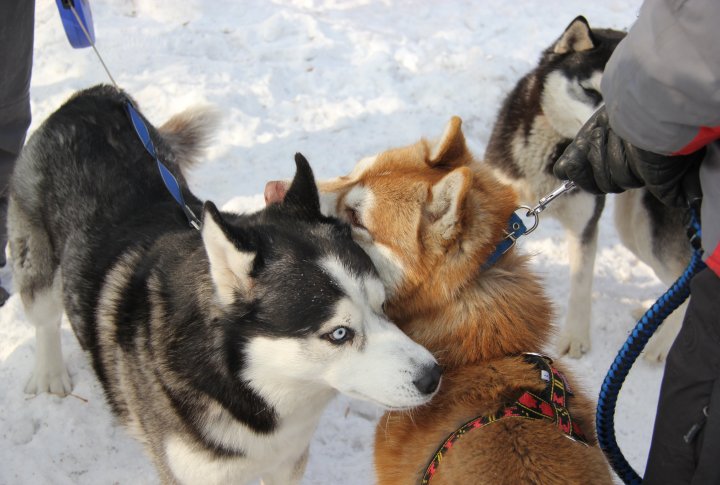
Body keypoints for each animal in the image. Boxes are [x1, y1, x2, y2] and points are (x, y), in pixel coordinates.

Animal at [9, 85, 438, 482]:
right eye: (339, 334)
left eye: (382, 305)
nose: (433, 375)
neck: (250, 388)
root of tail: (93, 94)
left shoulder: (287, 462)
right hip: (37, 263)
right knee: (44, 316)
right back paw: (49, 374)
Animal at [484, 17, 692, 360]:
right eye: (589, 90)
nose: (625, 139)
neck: (555, 158)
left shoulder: (584, 227)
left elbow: (581, 283)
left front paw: (575, 337)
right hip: (632, 230)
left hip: (647, 231)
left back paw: (660, 344)